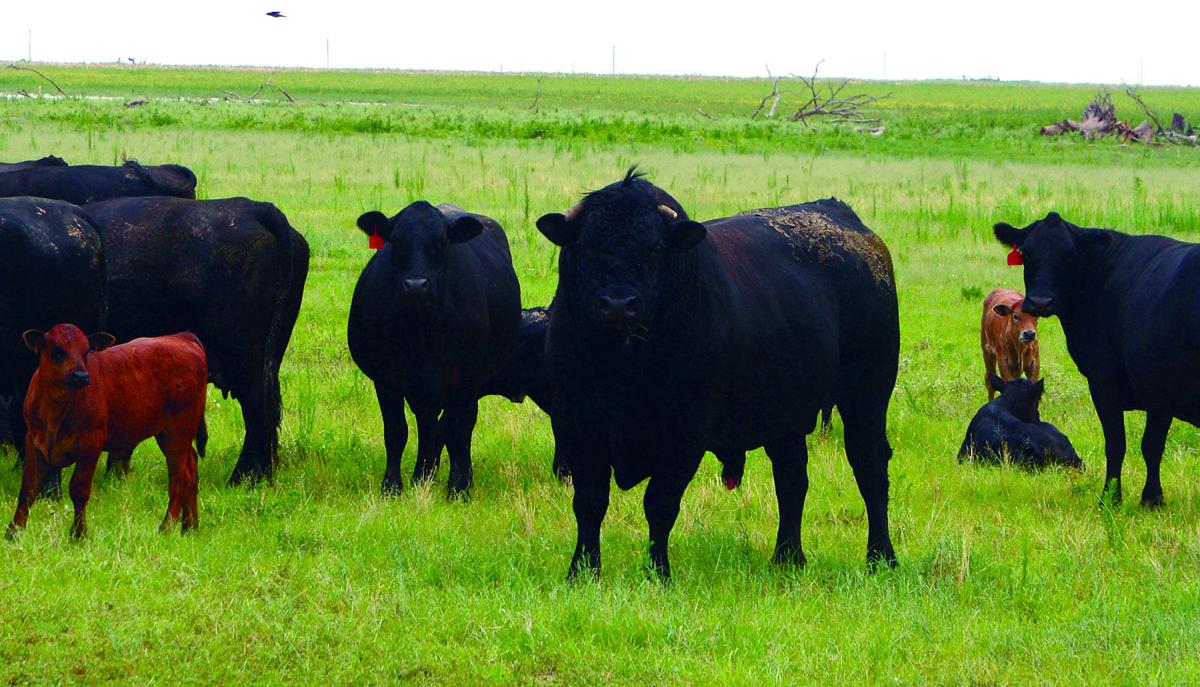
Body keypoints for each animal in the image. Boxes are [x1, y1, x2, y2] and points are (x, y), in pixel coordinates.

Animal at [7, 325, 207, 539]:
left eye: (86, 351)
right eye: (57, 351)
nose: (81, 376)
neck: (55, 410)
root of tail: (182, 337)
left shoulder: (91, 443)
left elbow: (79, 489)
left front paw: (78, 533)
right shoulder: (34, 441)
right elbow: (28, 489)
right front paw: (14, 531)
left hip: (177, 431)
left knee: (180, 476)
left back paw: (167, 527)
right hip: (175, 435)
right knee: (192, 465)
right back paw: (190, 526)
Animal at [348, 201, 521, 497]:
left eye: (441, 243)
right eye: (396, 241)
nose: (416, 285)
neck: (422, 330)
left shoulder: (466, 379)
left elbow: (457, 430)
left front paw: (459, 488)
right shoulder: (386, 378)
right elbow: (396, 431)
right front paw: (392, 486)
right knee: (428, 425)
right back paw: (423, 475)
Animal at [536, 168, 899, 580]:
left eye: (654, 249)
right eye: (586, 246)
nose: (618, 304)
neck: (623, 368)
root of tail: (844, 216)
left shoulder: (684, 435)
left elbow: (660, 504)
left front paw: (658, 572)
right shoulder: (578, 426)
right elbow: (590, 503)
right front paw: (582, 571)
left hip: (867, 394)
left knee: (869, 465)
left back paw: (881, 556)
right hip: (785, 415)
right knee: (792, 477)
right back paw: (787, 556)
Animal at [994, 211, 1200, 506]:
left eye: (1070, 254)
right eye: (1027, 252)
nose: (1041, 301)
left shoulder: (1105, 383)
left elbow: (1117, 445)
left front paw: (1110, 499)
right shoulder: (1157, 390)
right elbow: (1152, 445)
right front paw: (1152, 500)